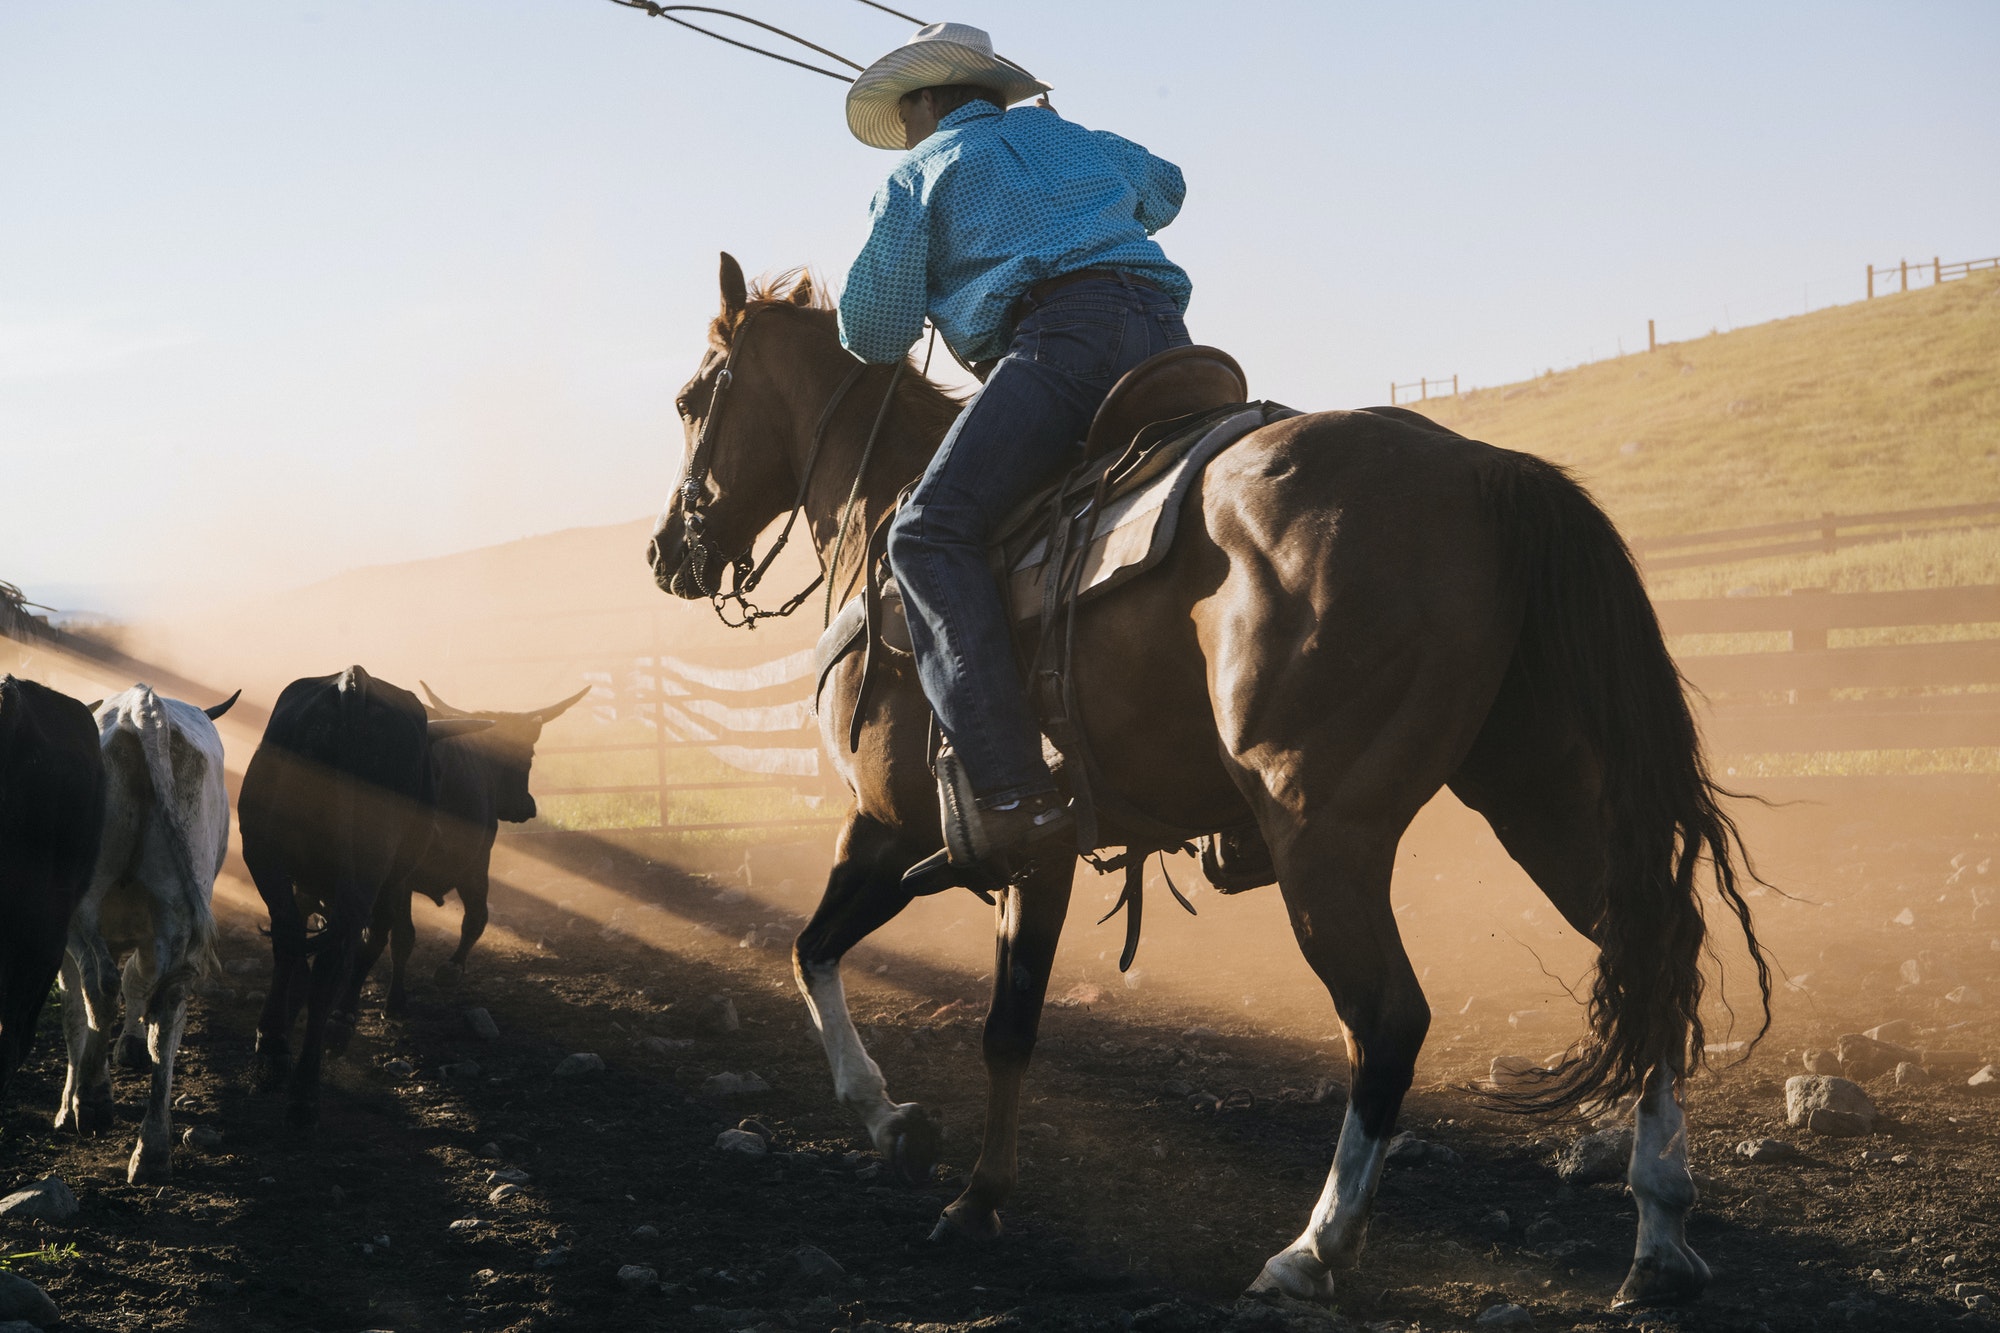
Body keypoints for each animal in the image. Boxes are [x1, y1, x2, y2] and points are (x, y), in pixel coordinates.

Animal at [56, 684, 236, 1182]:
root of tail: (142, 706)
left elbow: (75, 1008)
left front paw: (68, 1102)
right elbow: (141, 985)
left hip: (82, 899)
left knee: (100, 985)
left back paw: (92, 1102)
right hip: (177, 902)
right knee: (168, 1004)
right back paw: (152, 1148)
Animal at [236, 666, 490, 1126]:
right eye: (436, 773)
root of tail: (353, 684)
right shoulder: (390, 884)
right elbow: (376, 941)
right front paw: (341, 1022)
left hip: (266, 856)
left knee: (291, 939)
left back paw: (277, 1059)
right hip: (367, 873)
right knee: (333, 956)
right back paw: (305, 1078)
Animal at [646, 253, 1770, 1309]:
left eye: (694, 398)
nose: (665, 552)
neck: (884, 516)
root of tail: (1485, 476)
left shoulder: (902, 826)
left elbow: (838, 962)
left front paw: (903, 1132)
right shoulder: (1020, 851)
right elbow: (968, 1010)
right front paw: (959, 1177)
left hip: (1326, 830)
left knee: (1388, 1019)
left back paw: (1311, 1250)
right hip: (1543, 796)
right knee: (1652, 945)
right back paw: (1659, 1236)